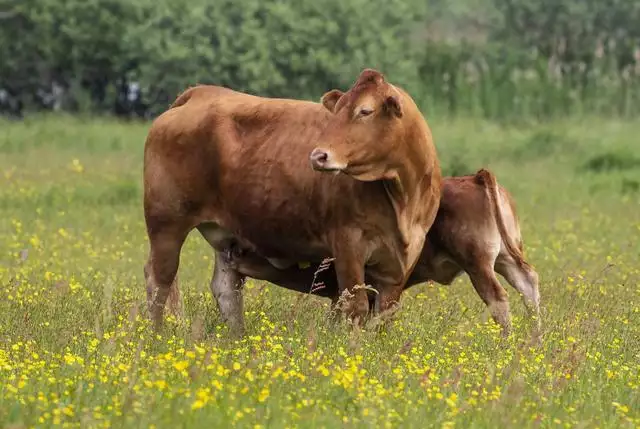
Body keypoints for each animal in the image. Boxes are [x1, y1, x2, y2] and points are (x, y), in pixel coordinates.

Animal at [141, 68, 440, 332]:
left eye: (365, 111)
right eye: (337, 110)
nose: (318, 156)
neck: (403, 199)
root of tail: (201, 93)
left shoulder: (400, 261)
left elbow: (383, 315)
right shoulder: (348, 243)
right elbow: (355, 307)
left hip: (226, 238)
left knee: (226, 290)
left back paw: (237, 337)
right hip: (166, 224)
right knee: (159, 281)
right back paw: (156, 337)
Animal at [219, 168, 540, 334]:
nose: (232, 250)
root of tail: (474, 177)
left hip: (478, 264)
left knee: (498, 298)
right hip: (506, 258)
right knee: (528, 284)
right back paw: (534, 339)